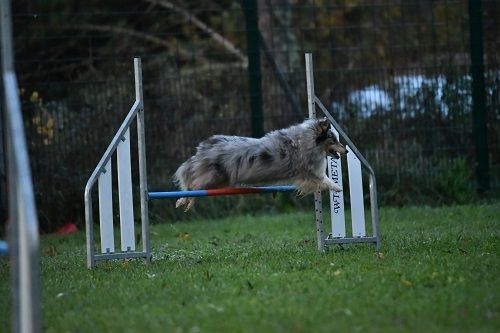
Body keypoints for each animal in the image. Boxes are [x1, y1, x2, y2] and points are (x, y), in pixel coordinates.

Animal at [175, 117, 348, 210]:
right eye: (333, 140)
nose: (346, 151)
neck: (306, 140)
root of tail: (205, 147)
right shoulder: (310, 172)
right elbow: (325, 180)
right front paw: (337, 187)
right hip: (214, 177)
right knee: (194, 186)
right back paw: (184, 201)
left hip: (221, 181)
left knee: (194, 186)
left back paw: (184, 202)